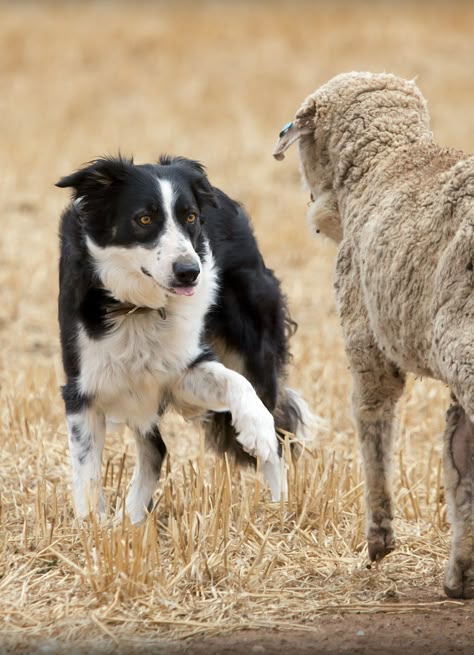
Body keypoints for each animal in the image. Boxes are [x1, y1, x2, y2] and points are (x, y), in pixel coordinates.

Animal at [57, 154, 310, 524]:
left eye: (190, 217)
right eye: (144, 218)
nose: (190, 272)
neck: (140, 308)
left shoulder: (183, 367)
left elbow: (237, 385)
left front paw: (256, 429)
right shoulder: (83, 388)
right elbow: (86, 470)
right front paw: (94, 527)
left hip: (254, 343)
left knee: (275, 431)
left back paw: (281, 511)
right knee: (154, 449)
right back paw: (131, 519)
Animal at [272, 72, 474, 600]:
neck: (389, 161)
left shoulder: (366, 339)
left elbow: (372, 420)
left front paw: (380, 538)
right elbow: (459, 466)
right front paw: (460, 575)